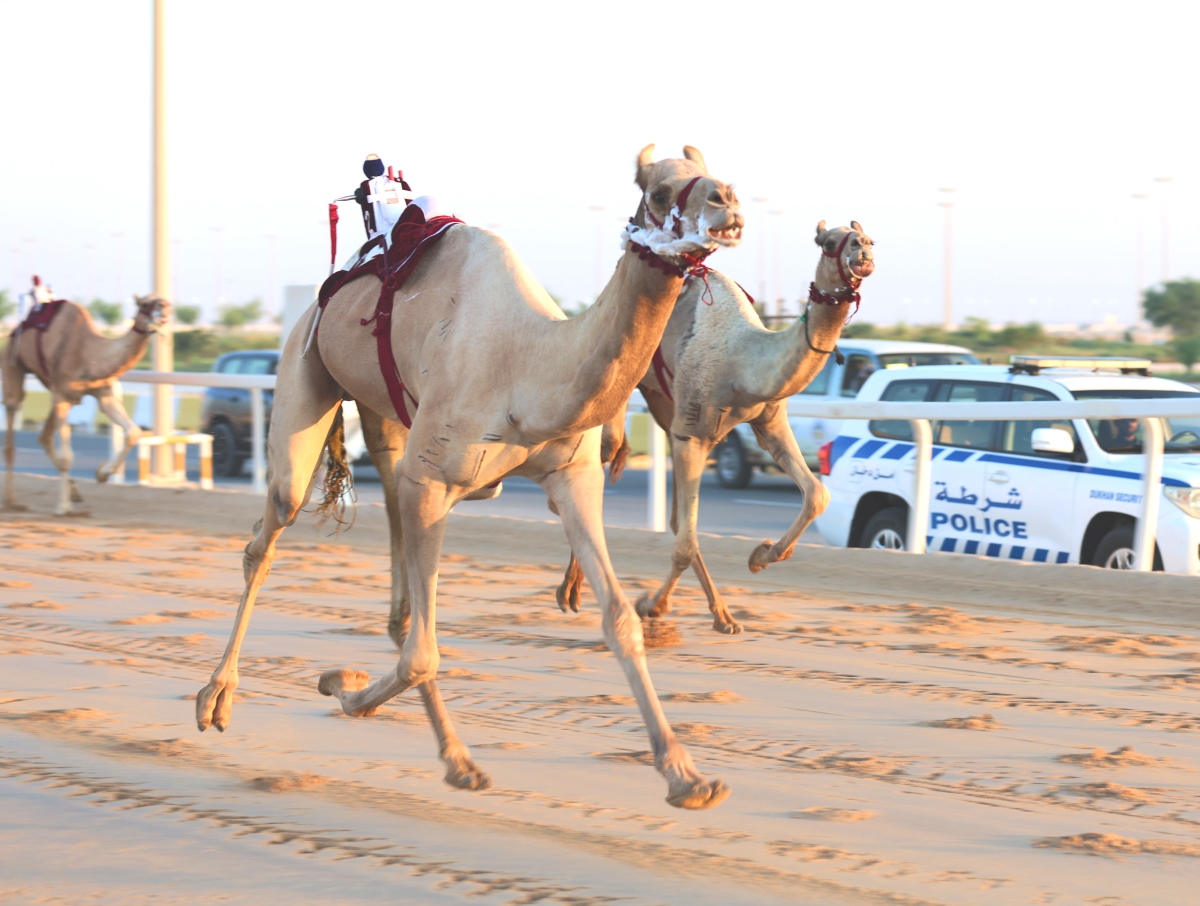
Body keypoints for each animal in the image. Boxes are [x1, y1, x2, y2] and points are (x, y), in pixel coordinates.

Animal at [195, 145, 739, 811]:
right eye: (659, 192)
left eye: (717, 173)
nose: (727, 204)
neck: (528, 368)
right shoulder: (435, 480)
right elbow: (423, 655)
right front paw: (355, 697)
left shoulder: (572, 478)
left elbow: (619, 619)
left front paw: (687, 776)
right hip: (306, 369)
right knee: (272, 526)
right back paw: (217, 698)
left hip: (388, 423)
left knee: (394, 558)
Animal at [556, 222, 878, 628]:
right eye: (830, 242)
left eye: (868, 238)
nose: (863, 248)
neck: (743, 361)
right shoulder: (693, 434)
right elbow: (684, 543)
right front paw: (650, 604)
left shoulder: (768, 421)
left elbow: (817, 494)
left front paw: (762, 556)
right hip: (620, 381)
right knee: (604, 452)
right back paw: (571, 589)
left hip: (664, 404)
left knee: (674, 513)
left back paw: (723, 614)